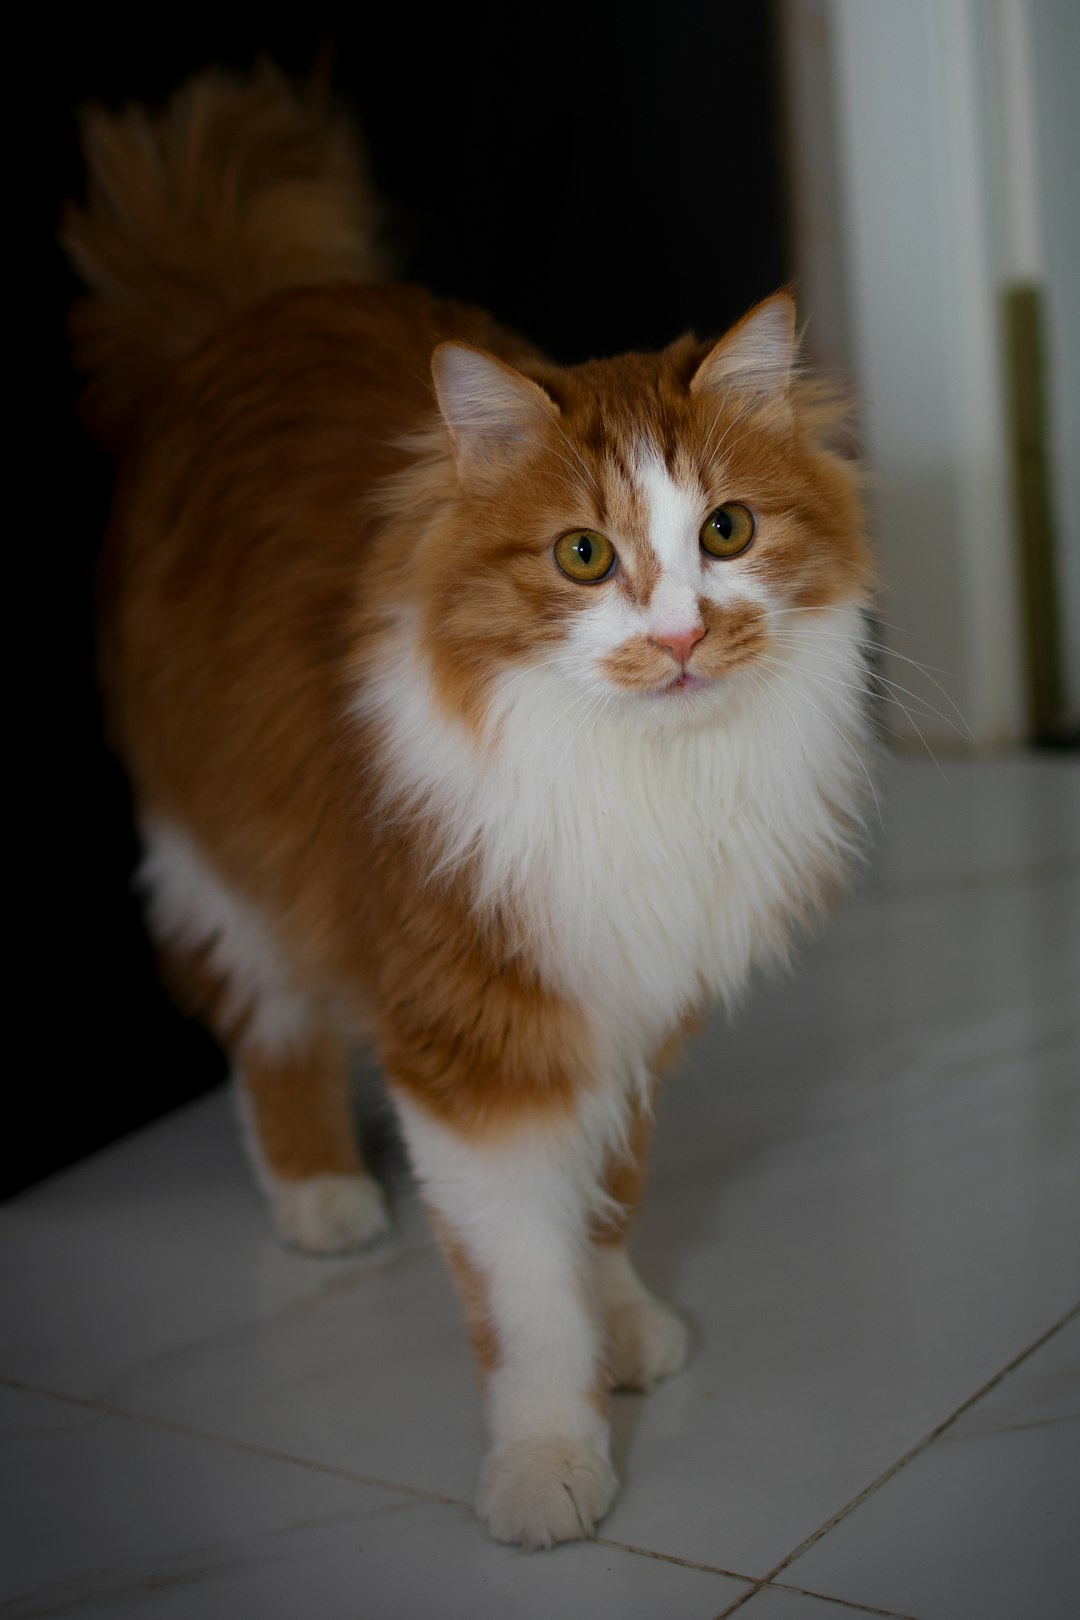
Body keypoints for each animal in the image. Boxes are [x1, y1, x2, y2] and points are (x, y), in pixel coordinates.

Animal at [67, 69, 874, 1548]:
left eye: (726, 533)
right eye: (584, 555)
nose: (680, 638)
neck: (637, 772)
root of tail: (246, 311)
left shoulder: (631, 993)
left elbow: (604, 1205)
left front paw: (627, 1329)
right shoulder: (472, 1032)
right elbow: (523, 1289)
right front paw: (550, 1463)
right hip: (220, 850)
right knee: (259, 1020)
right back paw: (320, 1193)